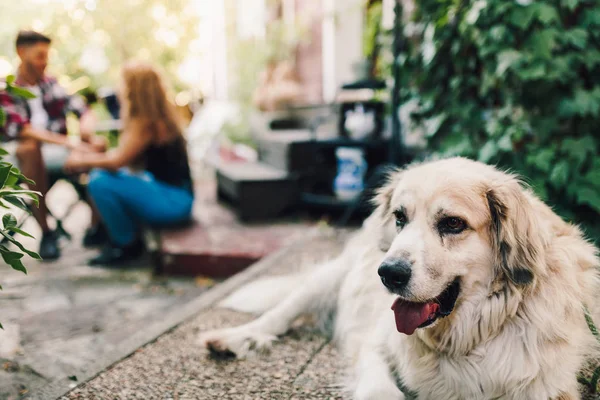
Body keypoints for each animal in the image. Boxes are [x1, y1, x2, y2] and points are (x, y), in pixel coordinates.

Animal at [199, 158, 596, 398]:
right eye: (401, 217)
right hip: (330, 278)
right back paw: (236, 338)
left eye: (453, 223)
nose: (388, 273)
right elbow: (381, 388)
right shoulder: (375, 343)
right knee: (280, 314)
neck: (468, 336)